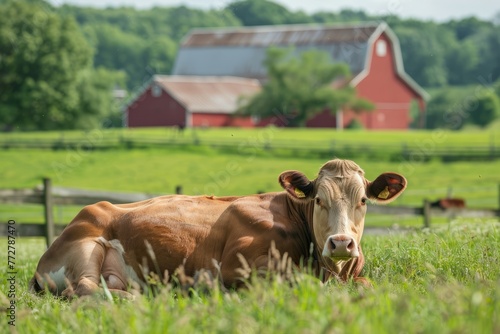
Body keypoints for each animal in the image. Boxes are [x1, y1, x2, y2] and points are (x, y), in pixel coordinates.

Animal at [29, 159, 406, 298]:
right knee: (83, 288)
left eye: (363, 200)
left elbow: (367, 284)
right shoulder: (237, 267)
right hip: (86, 245)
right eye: (318, 200)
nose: (341, 243)